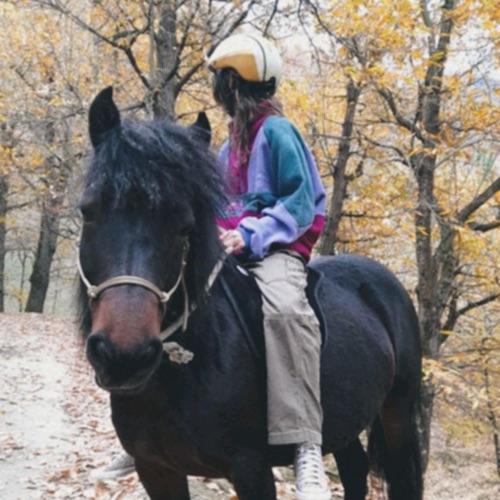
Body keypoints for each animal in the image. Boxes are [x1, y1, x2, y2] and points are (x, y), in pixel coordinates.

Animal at [77, 86, 423, 500]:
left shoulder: (251, 469)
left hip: (398, 414)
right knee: (354, 467)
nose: (124, 356)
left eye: (185, 227)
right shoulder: (155, 468)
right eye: (88, 211)